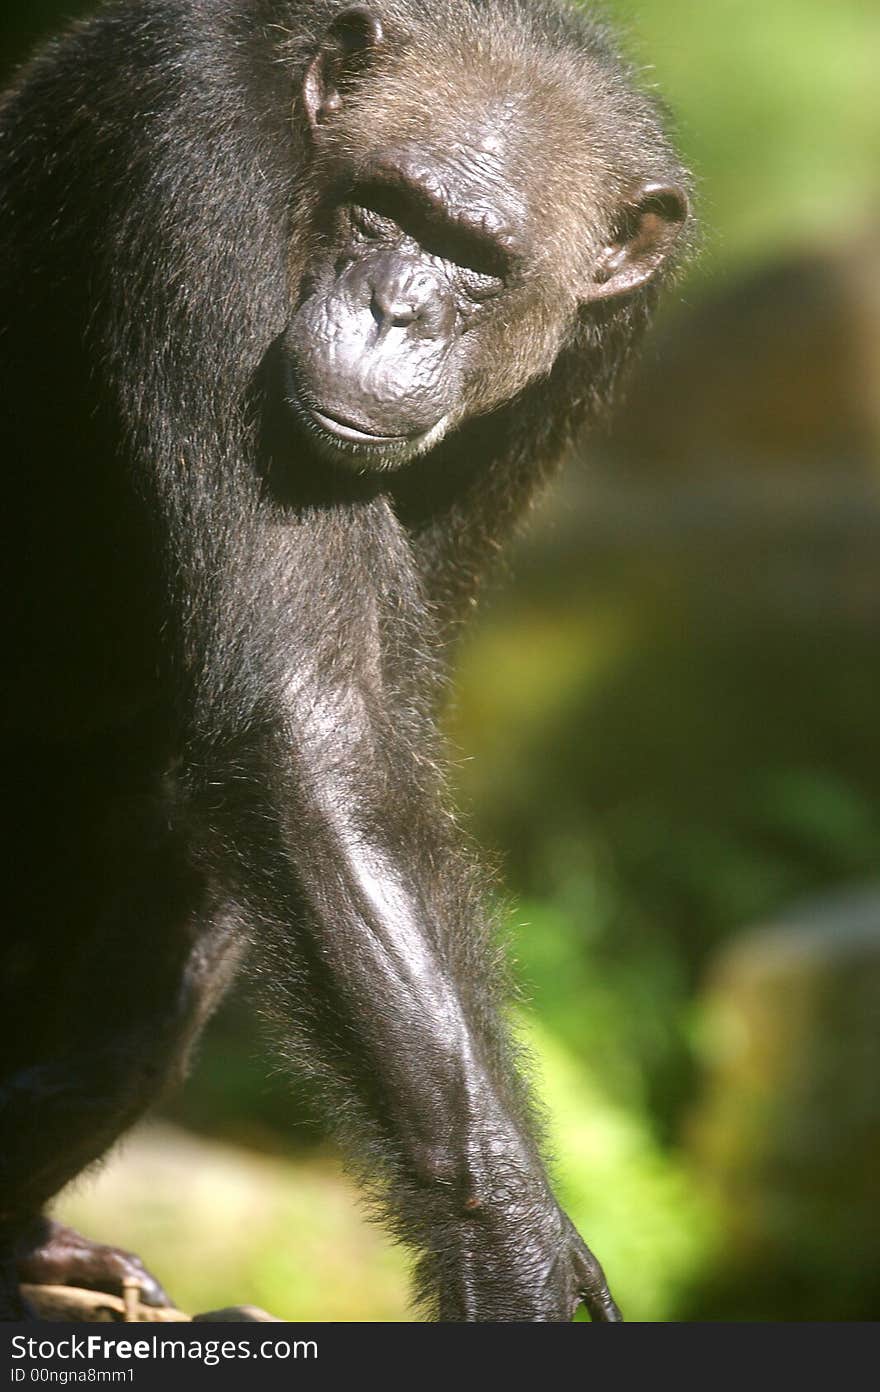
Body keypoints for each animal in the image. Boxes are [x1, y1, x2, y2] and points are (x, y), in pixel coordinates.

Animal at [0, 0, 687, 1319]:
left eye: (479, 258)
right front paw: (506, 1236)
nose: (398, 310)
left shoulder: (595, 346)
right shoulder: (198, 159)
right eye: (388, 211)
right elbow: (314, 722)